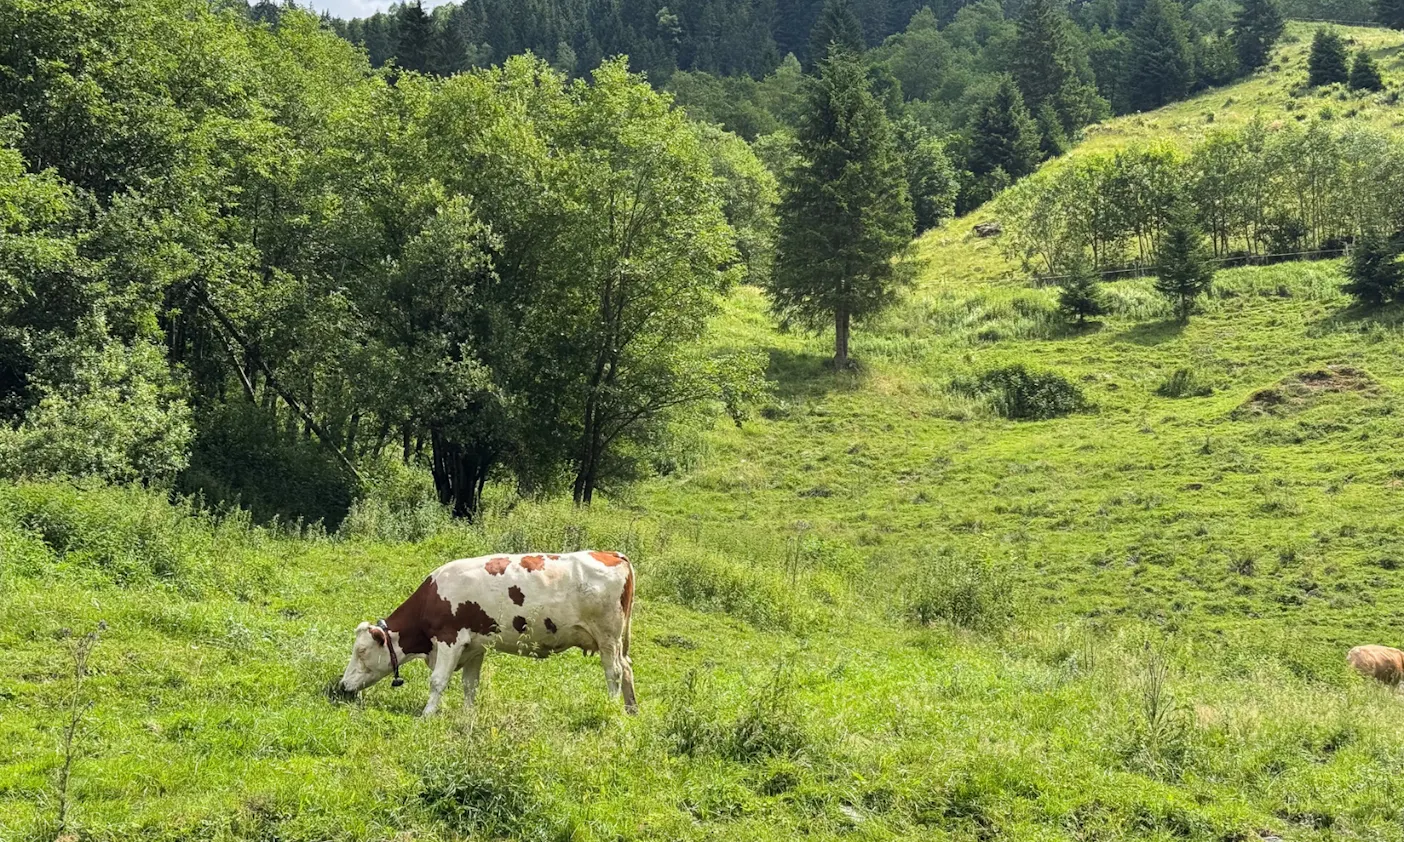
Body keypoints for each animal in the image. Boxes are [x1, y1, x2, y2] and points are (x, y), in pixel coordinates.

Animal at [338, 550, 637, 716]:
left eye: (361, 651)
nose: (341, 686)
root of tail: (611, 553)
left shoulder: (450, 639)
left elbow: (438, 681)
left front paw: (427, 713)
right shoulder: (475, 646)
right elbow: (470, 685)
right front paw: (468, 714)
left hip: (607, 637)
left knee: (614, 672)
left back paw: (611, 708)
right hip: (617, 641)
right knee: (627, 668)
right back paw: (630, 710)